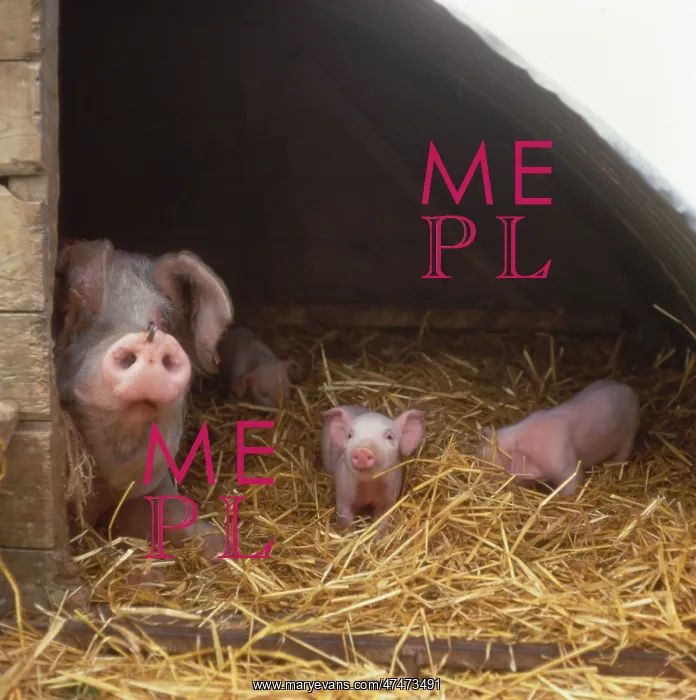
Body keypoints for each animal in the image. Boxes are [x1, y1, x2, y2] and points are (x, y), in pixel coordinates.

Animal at [321, 405, 427, 535]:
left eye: (390, 436)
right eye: (350, 435)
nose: (362, 451)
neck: (368, 486)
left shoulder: (390, 497)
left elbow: (383, 520)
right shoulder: (343, 495)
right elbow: (346, 520)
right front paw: (352, 535)